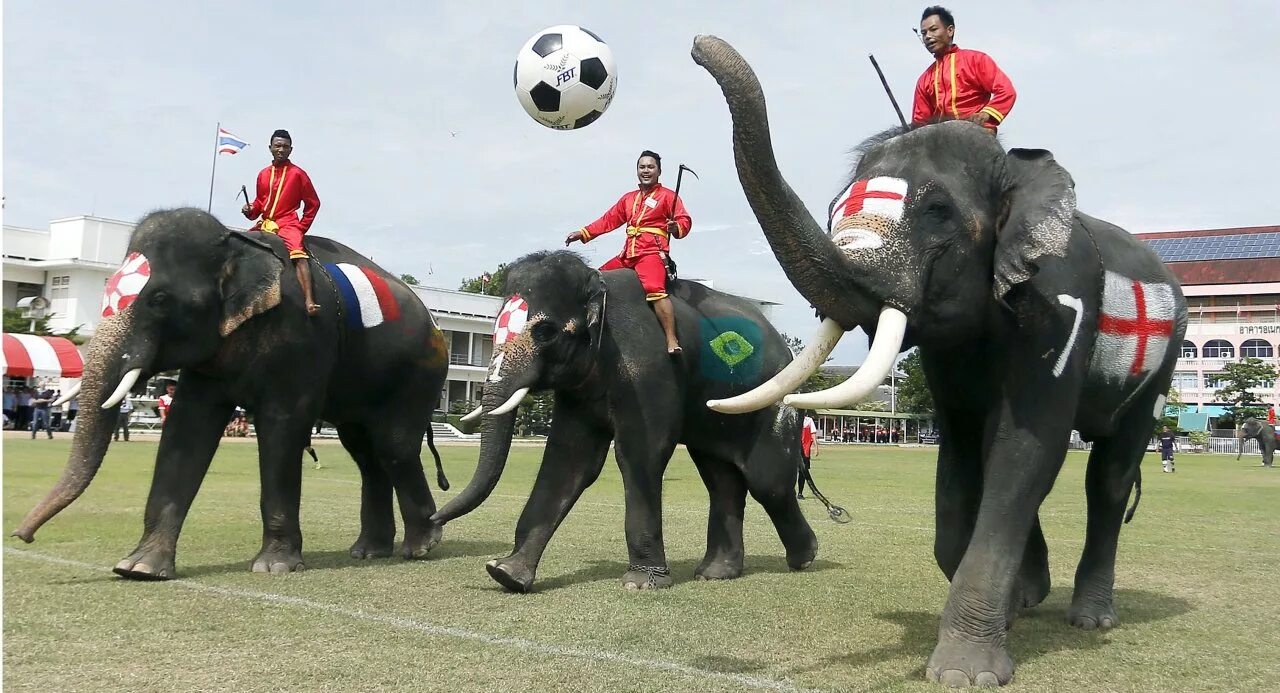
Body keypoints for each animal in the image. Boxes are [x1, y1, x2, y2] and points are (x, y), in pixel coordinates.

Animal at [12, 207, 453, 576]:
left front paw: (274, 568)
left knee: (393, 446)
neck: (236, 242)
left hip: (419, 371)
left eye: (159, 299)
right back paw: (370, 551)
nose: (22, 536)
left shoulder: (302, 336)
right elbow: (187, 428)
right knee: (365, 453)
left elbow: (282, 426)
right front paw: (138, 568)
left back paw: (422, 546)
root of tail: (434, 321)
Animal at [424, 251, 814, 591]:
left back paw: (805, 558)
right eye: (491, 332)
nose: (432, 519)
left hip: (774, 397)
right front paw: (505, 574)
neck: (598, 287)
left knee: (767, 481)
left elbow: (641, 453)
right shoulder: (580, 390)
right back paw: (717, 573)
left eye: (545, 332)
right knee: (721, 478)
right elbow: (570, 459)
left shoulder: (650, 367)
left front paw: (641, 584)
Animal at [696, 37, 1192, 686]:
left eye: (937, 211)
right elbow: (962, 457)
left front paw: (965, 674)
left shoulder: (1061, 303)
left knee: (1110, 472)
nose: (699, 47)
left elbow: (1025, 446)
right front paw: (1011, 610)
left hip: (1163, 360)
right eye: (835, 207)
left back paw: (1090, 618)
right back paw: (1034, 595)